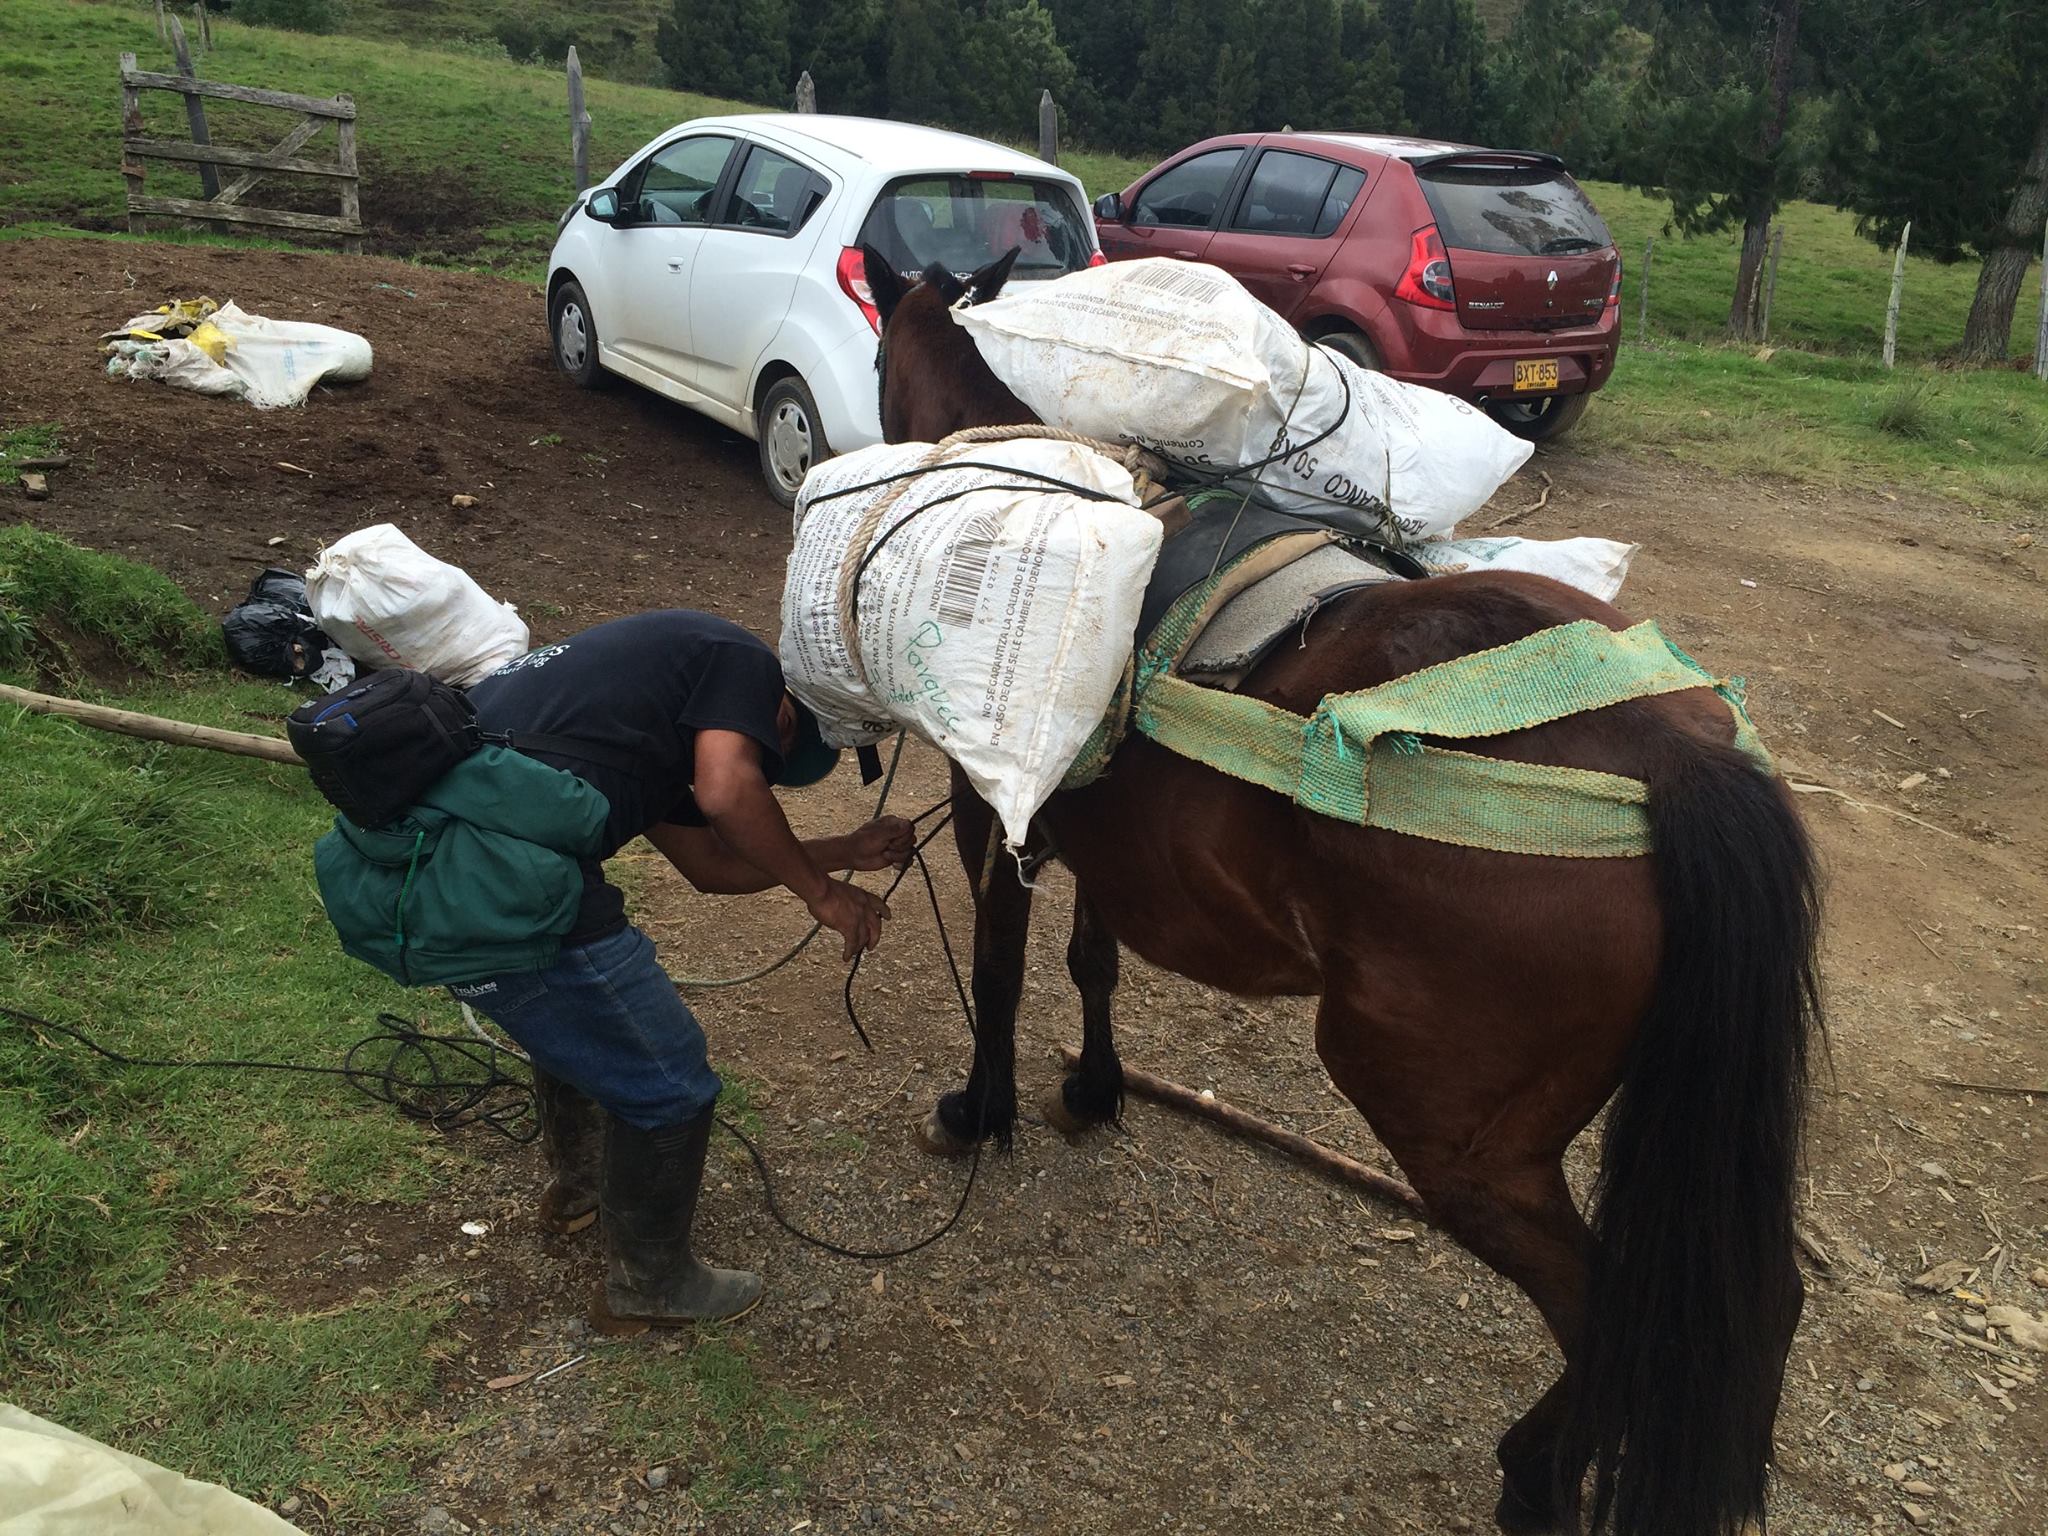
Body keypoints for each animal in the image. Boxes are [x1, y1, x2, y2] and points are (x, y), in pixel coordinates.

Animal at [859, 247, 1821, 1536]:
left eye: (871, 359)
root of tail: (1667, 761)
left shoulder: (990, 811)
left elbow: (1004, 970)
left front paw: (981, 1110)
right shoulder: (1104, 843)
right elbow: (1091, 962)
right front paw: (1096, 1089)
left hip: (1446, 1126)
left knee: (1608, 1314)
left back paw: (1533, 1477)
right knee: (1744, 1310)